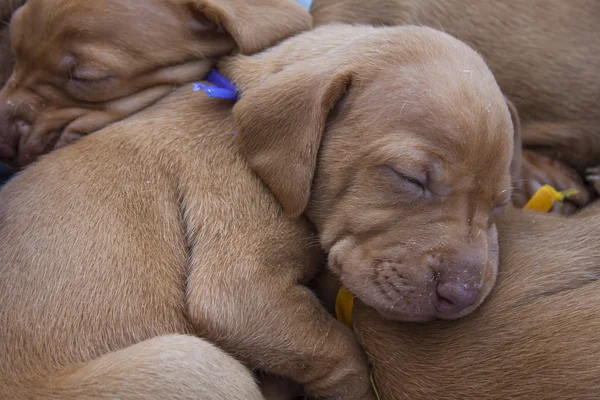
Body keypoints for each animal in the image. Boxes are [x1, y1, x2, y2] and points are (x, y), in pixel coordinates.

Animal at [0, 24, 516, 396]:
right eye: (409, 178)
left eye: (500, 203)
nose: (462, 295)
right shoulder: (238, 291)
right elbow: (339, 350)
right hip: (194, 364)